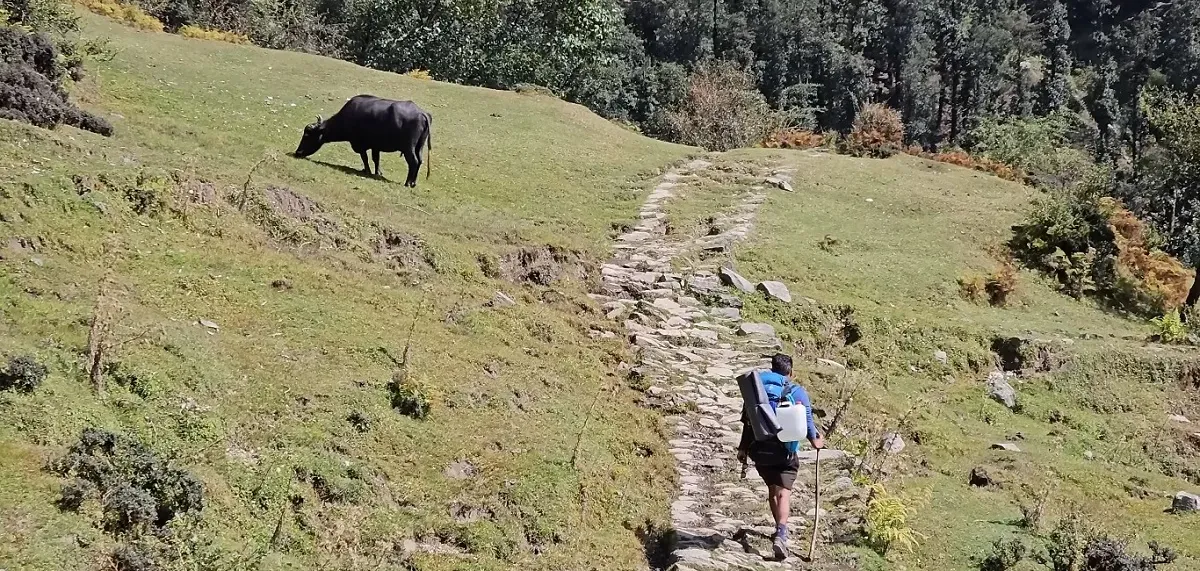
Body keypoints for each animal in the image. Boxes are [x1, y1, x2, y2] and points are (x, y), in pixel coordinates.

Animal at [294, 95, 432, 187]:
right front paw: (377, 172)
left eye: (307, 134)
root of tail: (421, 113)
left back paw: (408, 183)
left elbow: (365, 158)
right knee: (420, 161)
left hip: (408, 147)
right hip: (419, 146)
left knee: (414, 162)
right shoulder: (375, 146)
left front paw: (367, 171)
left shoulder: (360, 145)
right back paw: (413, 183)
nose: (297, 152)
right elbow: (376, 159)